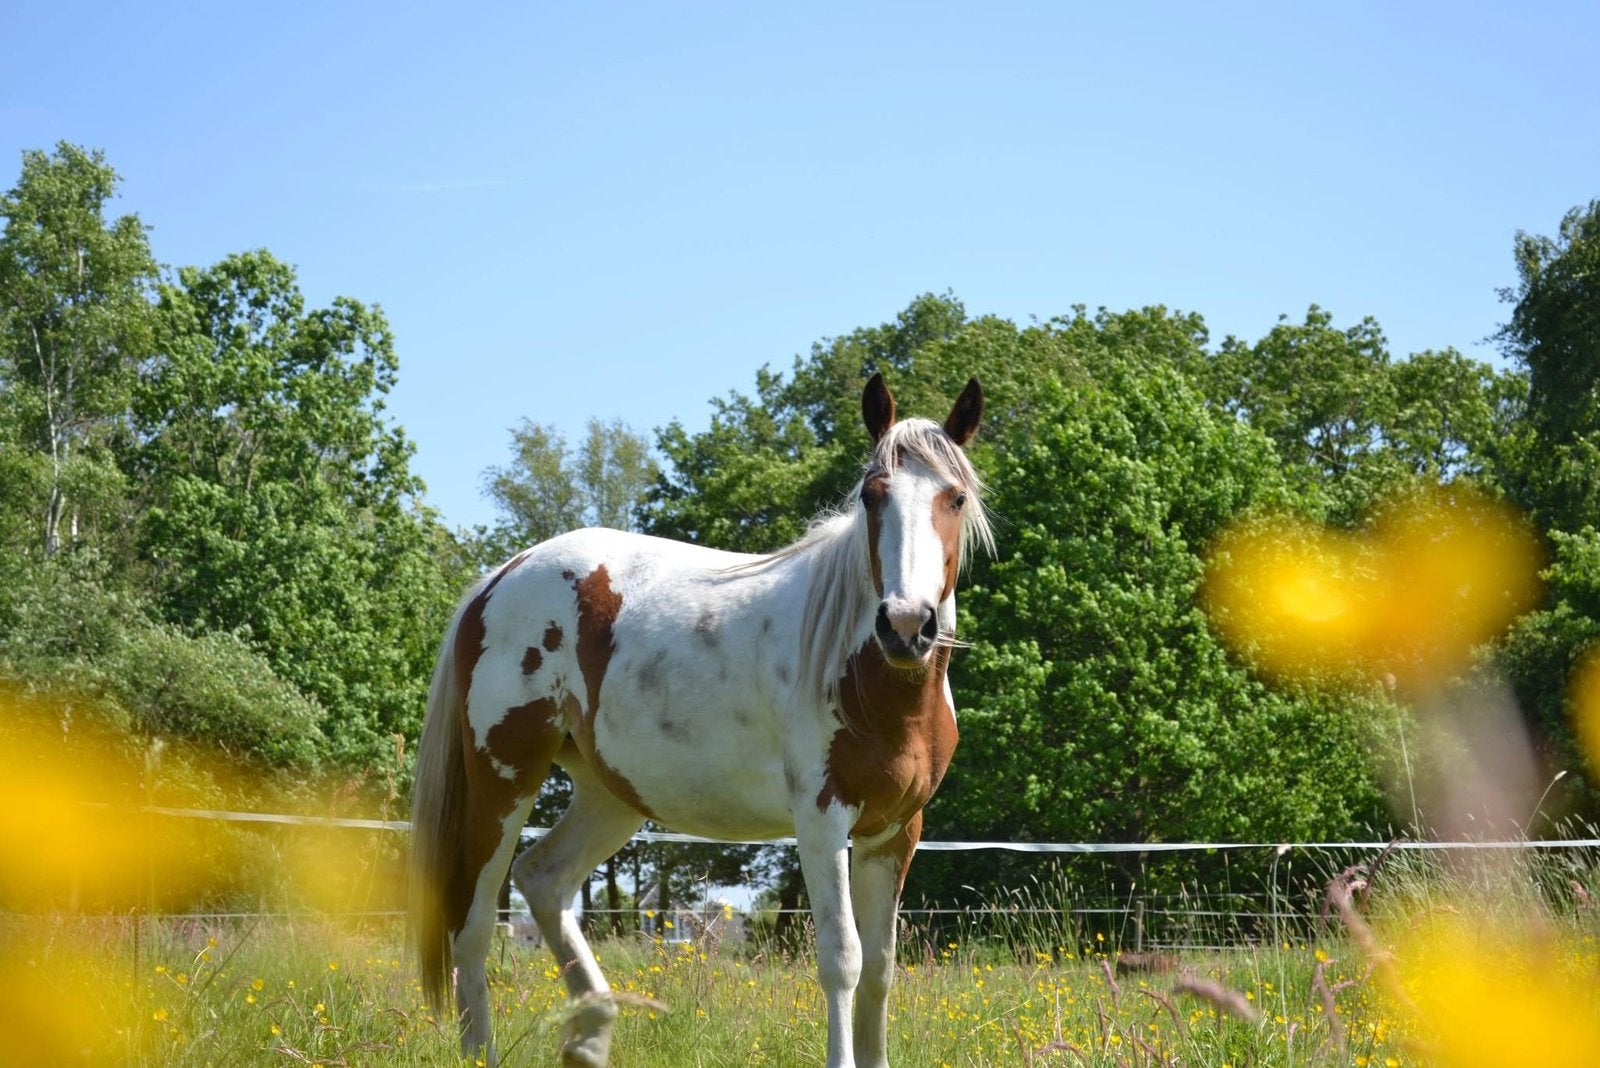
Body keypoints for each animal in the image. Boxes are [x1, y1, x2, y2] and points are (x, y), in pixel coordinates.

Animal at [408, 372, 992, 1067]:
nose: (906, 624)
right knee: (472, 925)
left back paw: (594, 1032)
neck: (872, 679)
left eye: (955, 498)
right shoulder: (822, 819)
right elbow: (842, 960)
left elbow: (879, 968)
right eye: (872, 496)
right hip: (504, 779)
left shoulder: (896, 831)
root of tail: (500, 577)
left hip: (612, 795)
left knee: (543, 879)